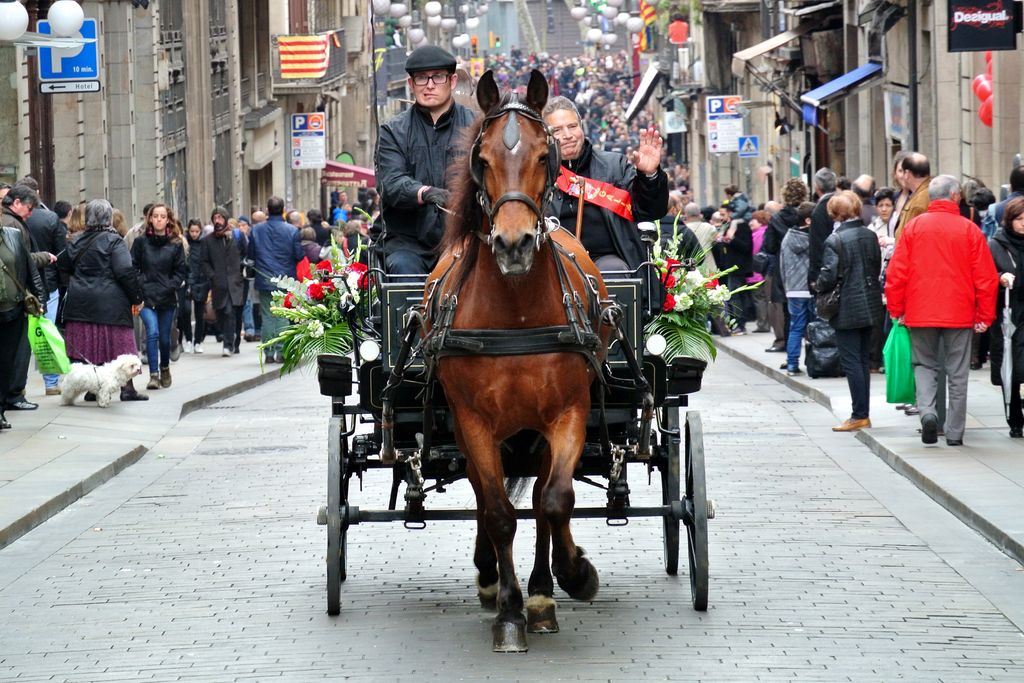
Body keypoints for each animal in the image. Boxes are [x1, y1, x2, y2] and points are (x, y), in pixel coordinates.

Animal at [421, 69, 610, 651]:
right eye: (480, 159)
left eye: (546, 155)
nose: (513, 245)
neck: (517, 315)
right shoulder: (474, 421)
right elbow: (500, 513)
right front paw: (508, 612)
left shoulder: (568, 414)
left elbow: (554, 502)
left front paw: (570, 578)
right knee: (486, 499)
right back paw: (492, 580)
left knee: (542, 502)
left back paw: (543, 593)